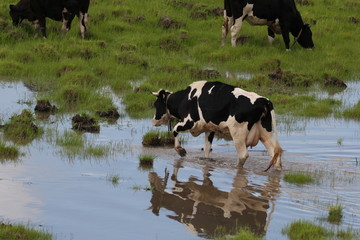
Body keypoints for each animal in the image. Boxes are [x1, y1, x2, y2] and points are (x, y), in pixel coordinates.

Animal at [150, 80, 282, 171]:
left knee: (243, 155)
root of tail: (263, 100)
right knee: (275, 155)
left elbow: (175, 130)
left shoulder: (189, 122)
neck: (185, 99)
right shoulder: (210, 128)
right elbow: (207, 148)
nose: (153, 121)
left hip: (238, 133)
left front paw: (180, 150)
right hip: (265, 133)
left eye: (156, 104)